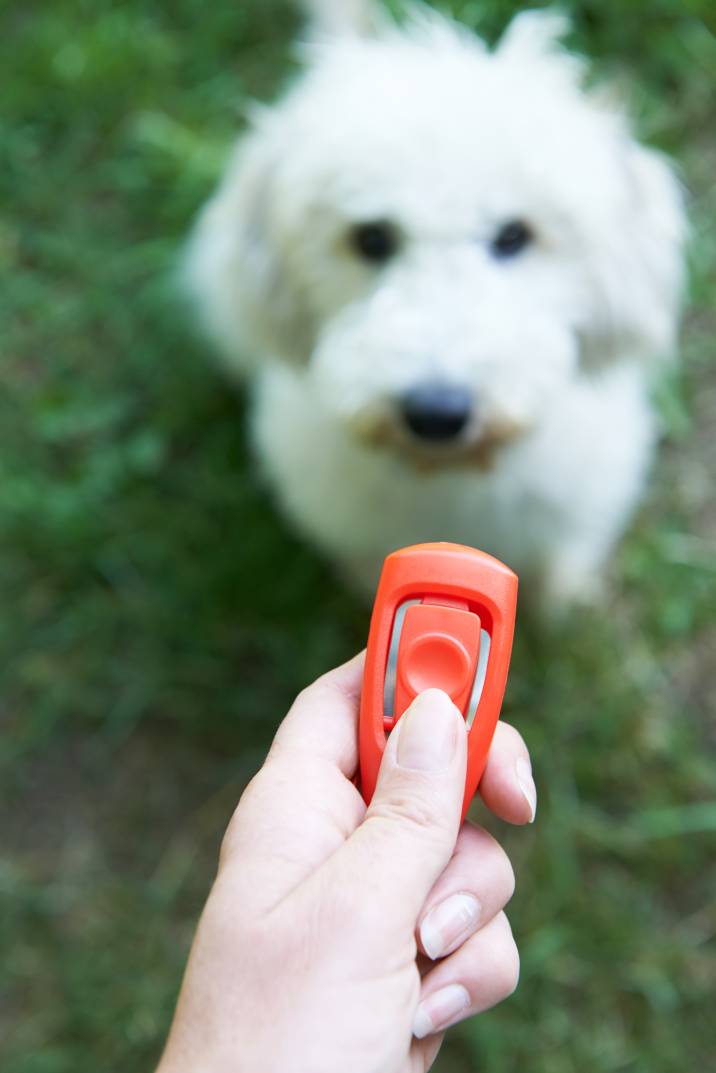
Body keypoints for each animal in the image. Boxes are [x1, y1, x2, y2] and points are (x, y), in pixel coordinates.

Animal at [187, 0, 687, 609]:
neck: (448, 479)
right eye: (371, 238)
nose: (437, 413)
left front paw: (564, 598)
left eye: (514, 235)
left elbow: (555, 561)